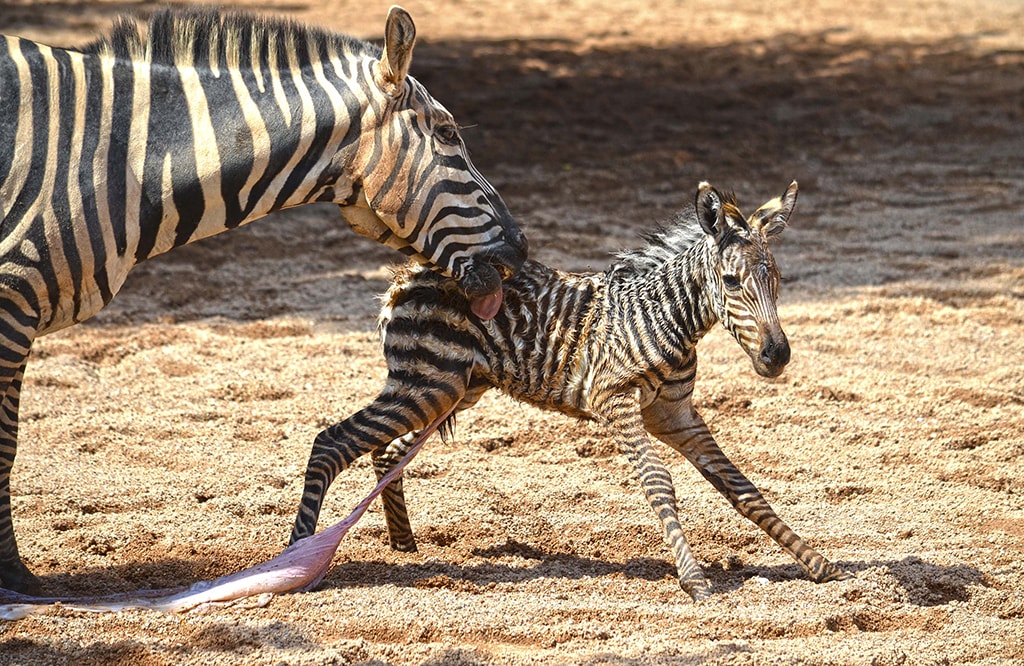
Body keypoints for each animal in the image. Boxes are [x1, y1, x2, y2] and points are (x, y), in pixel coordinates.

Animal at [0, 6, 528, 590]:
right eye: (448, 133)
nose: (522, 249)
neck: (116, 163)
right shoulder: (12, 302)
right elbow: (5, 446)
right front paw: (15, 574)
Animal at [292, 179, 851, 598]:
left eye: (777, 278)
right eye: (732, 283)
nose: (776, 356)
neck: (669, 319)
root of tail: (408, 274)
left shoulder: (675, 415)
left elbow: (742, 488)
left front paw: (819, 564)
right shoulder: (616, 403)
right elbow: (659, 483)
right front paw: (693, 580)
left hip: (450, 389)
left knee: (385, 453)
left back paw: (404, 544)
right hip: (426, 384)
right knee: (332, 443)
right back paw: (297, 562)